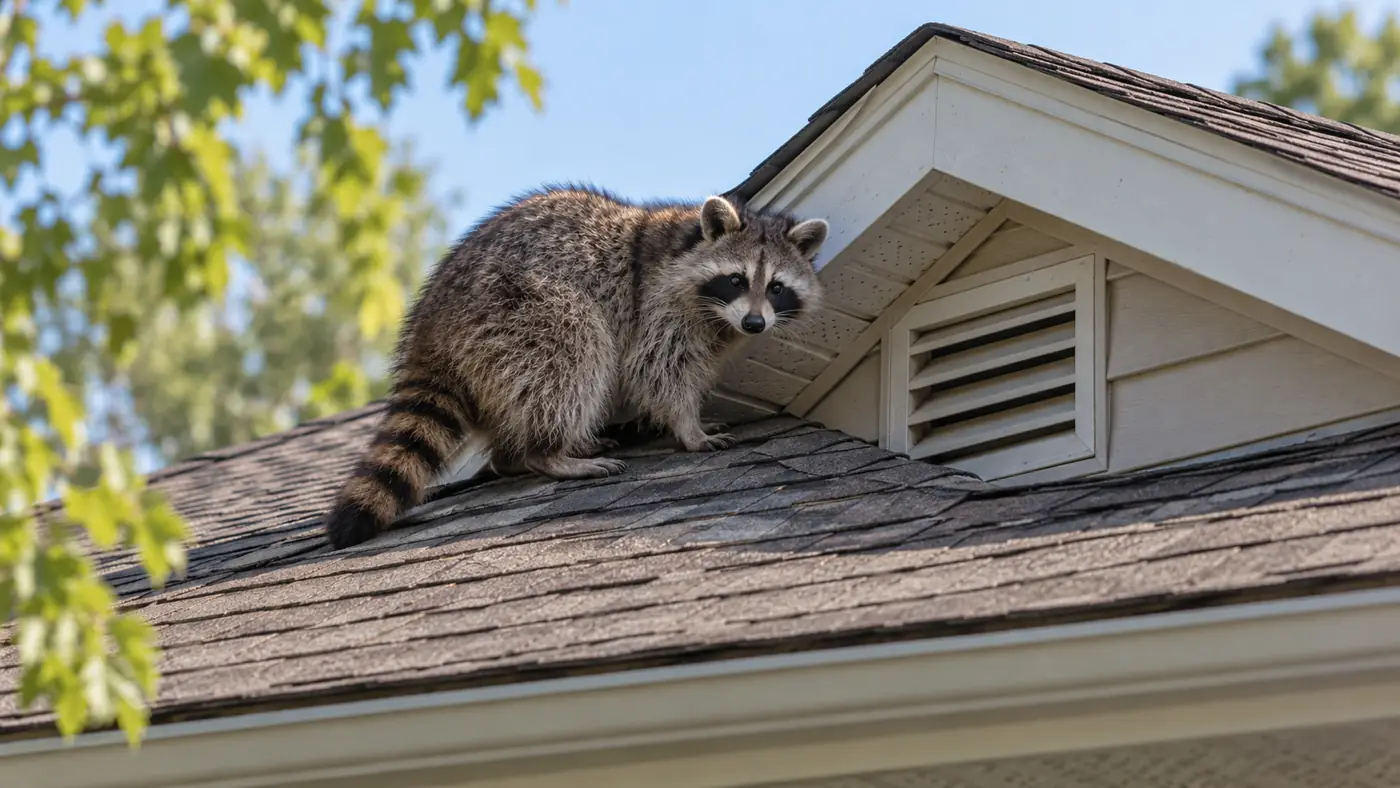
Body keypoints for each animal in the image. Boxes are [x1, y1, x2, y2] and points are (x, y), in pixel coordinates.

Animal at [323, 185, 828, 549]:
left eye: (777, 287)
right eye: (736, 280)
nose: (754, 323)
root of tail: (430, 325)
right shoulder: (658, 303)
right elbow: (658, 368)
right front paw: (688, 426)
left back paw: (521, 454)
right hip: (514, 310)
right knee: (571, 350)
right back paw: (548, 452)